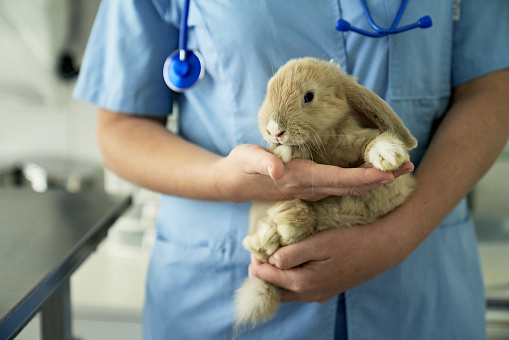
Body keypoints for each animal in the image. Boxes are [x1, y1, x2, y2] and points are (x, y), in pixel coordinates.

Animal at [234, 57, 416, 330]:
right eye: (269, 91)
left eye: (309, 96)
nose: (274, 130)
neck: (326, 141)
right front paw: (283, 152)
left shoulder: (353, 141)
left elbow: (369, 142)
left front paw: (389, 154)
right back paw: (269, 235)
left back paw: (282, 226)